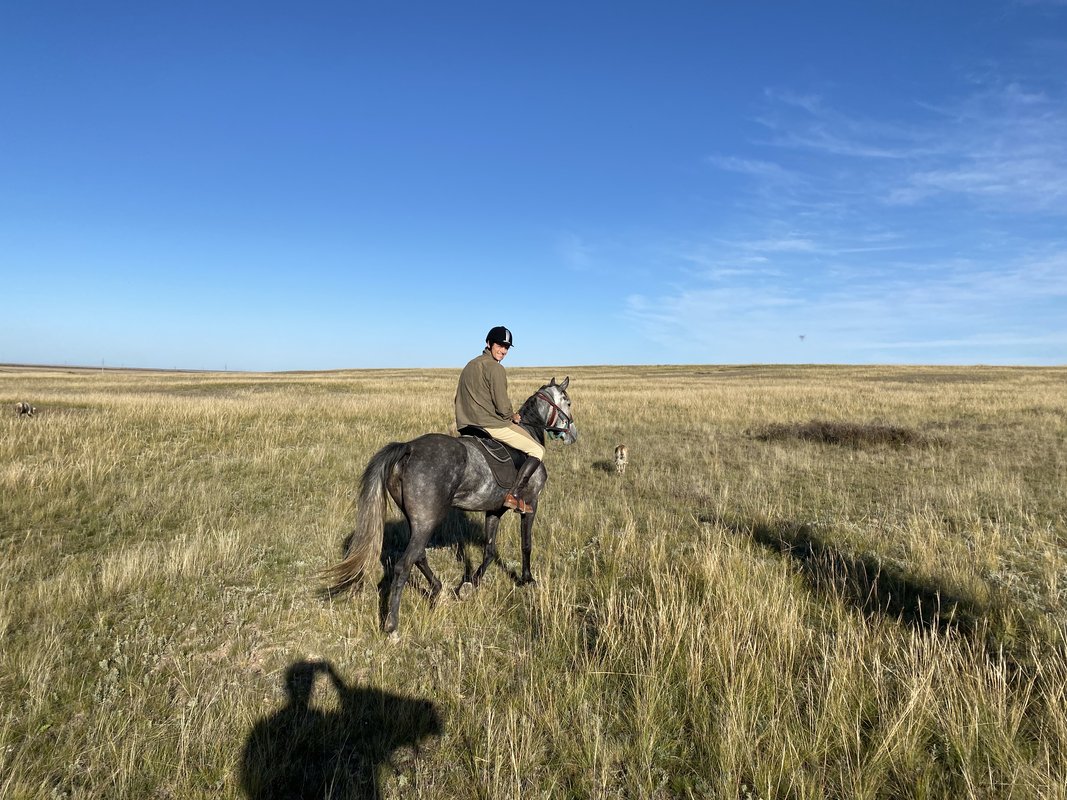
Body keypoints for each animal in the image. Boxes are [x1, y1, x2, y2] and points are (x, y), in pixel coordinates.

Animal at [322, 377, 578, 634]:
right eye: (568, 402)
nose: (573, 435)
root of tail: (409, 447)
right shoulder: (531, 503)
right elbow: (526, 545)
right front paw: (527, 580)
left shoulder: (494, 509)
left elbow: (489, 550)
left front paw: (471, 584)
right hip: (427, 520)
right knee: (404, 565)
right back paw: (392, 625)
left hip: (419, 520)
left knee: (419, 556)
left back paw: (437, 589)